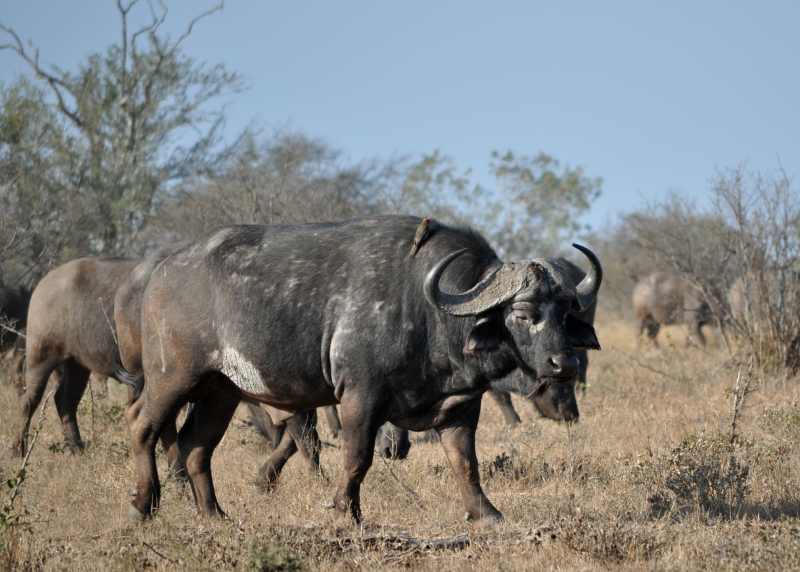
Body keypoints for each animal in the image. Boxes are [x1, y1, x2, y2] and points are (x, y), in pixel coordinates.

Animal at [128, 216, 601, 524]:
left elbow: (467, 463)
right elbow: (358, 458)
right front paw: (346, 512)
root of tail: (161, 273)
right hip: (173, 377)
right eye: (521, 313)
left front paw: (487, 515)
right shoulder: (360, 396)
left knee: (195, 447)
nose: (564, 363)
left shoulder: (460, 406)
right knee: (142, 426)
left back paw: (214, 515)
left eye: (564, 312)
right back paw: (143, 505)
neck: (428, 312)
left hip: (220, 391)